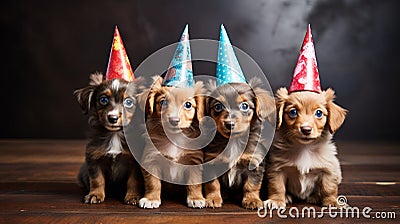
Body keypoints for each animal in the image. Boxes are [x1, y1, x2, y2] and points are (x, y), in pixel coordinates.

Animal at [74, 73, 143, 205]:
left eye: (128, 102)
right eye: (103, 100)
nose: (113, 118)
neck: (115, 134)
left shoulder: (135, 163)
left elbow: (134, 181)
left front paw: (133, 196)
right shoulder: (94, 158)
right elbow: (97, 179)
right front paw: (95, 195)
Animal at [138, 75, 206, 208]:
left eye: (188, 105)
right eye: (163, 102)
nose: (174, 120)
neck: (174, 138)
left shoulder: (194, 161)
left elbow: (194, 182)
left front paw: (195, 198)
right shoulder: (151, 160)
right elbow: (153, 183)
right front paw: (151, 199)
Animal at [203, 77, 276, 210]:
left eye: (244, 106)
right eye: (218, 106)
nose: (229, 124)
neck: (234, 141)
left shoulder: (254, 163)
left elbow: (251, 185)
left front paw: (252, 200)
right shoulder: (211, 163)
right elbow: (213, 184)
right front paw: (213, 199)